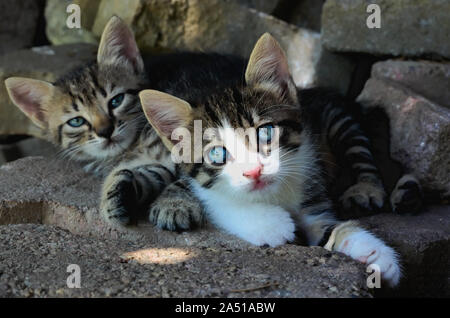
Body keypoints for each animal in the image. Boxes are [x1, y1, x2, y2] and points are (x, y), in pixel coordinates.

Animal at [4, 16, 243, 229]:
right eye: (77, 121)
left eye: (116, 100)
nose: (105, 131)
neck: (134, 146)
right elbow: (140, 173)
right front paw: (114, 197)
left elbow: (194, 177)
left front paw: (174, 205)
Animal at [140, 34, 400, 286]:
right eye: (217, 153)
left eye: (264, 132)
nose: (254, 171)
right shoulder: (203, 185)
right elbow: (219, 200)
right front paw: (271, 223)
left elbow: (329, 228)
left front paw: (376, 254)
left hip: (338, 117)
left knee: (360, 150)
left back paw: (366, 188)